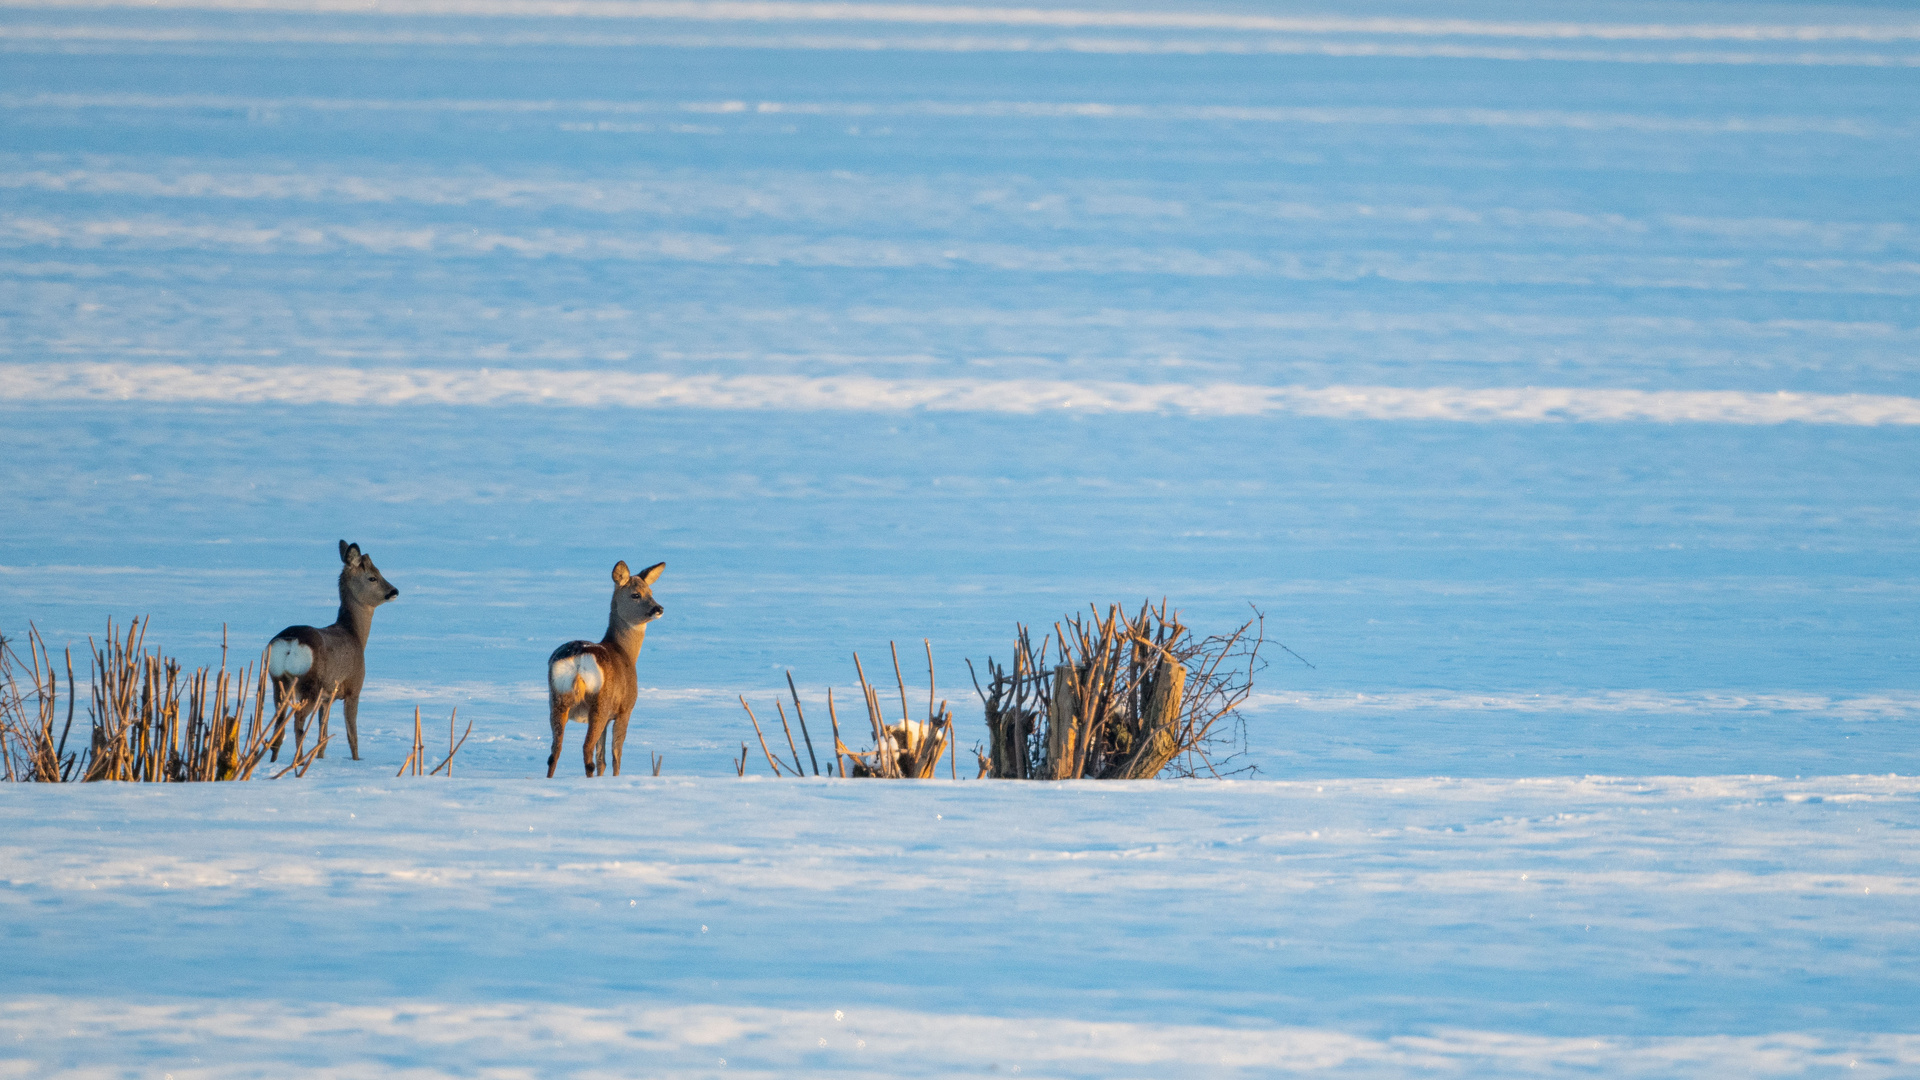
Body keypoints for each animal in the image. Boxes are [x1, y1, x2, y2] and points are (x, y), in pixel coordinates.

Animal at [264, 534, 399, 757]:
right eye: (373, 577)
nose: (394, 591)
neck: (354, 634)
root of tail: (290, 643)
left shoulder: (327, 698)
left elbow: (323, 736)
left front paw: (320, 758)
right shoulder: (354, 687)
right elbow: (352, 737)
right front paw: (356, 759)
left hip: (278, 681)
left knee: (279, 723)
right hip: (310, 685)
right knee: (297, 721)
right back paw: (300, 759)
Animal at [549, 557, 668, 776]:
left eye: (651, 592)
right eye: (635, 594)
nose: (659, 609)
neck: (625, 652)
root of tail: (578, 661)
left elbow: (602, 758)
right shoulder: (624, 709)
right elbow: (615, 755)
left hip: (557, 699)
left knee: (555, 751)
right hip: (600, 704)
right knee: (586, 749)